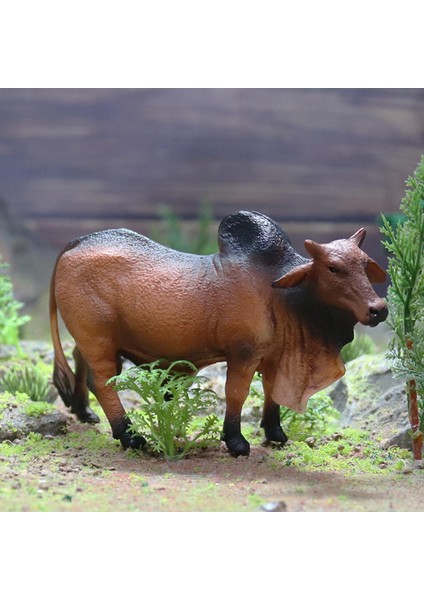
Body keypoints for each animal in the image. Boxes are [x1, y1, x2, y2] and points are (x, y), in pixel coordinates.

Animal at [49, 211, 388, 454]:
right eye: (333, 268)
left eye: (365, 264)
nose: (378, 309)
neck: (284, 296)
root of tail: (78, 241)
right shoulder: (244, 355)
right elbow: (236, 393)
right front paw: (236, 442)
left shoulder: (273, 358)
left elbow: (271, 394)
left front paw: (275, 433)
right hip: (99, 340)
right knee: (102, 382)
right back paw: (130, 436)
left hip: (90, 339)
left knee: (79, 361)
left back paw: (83, 412)